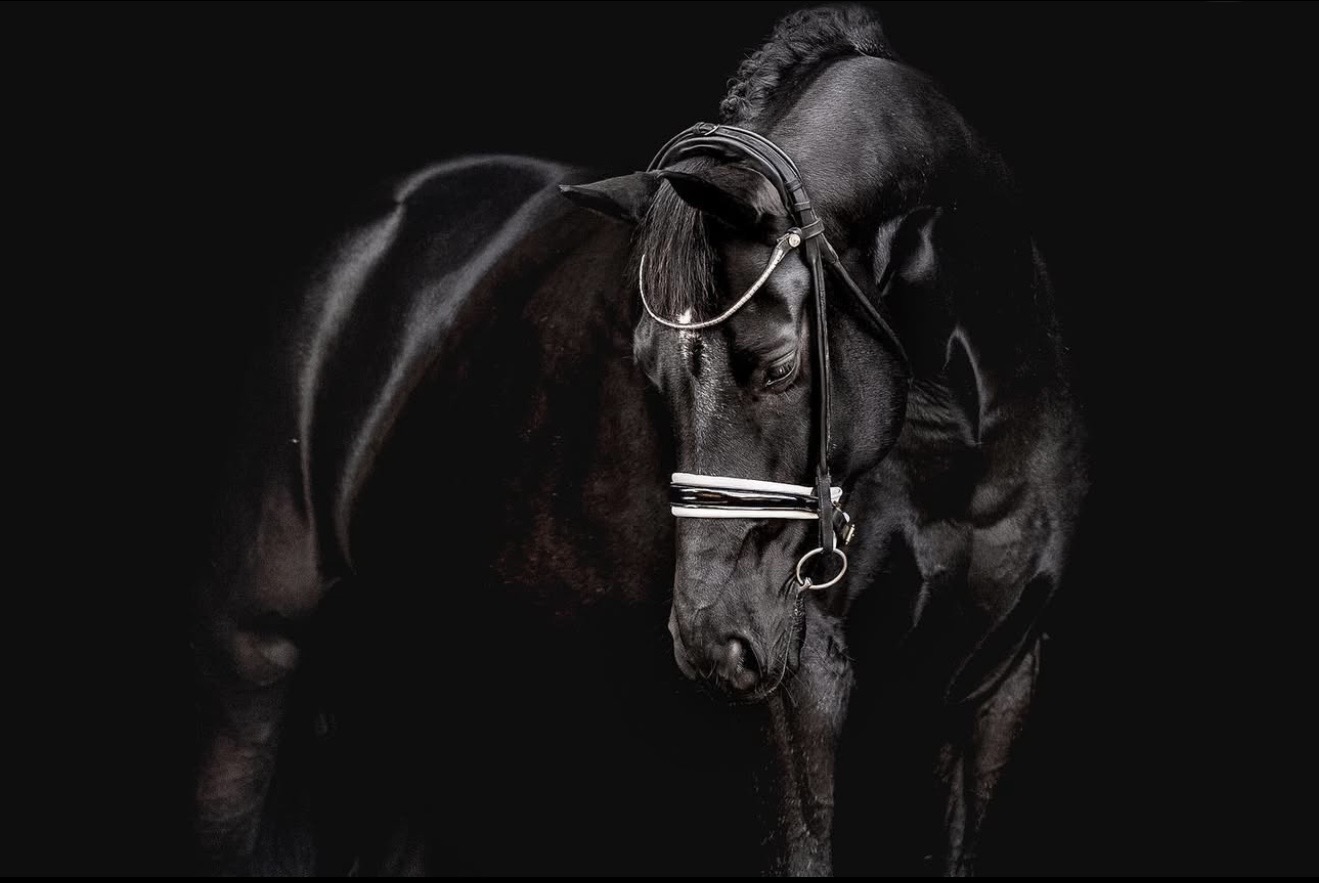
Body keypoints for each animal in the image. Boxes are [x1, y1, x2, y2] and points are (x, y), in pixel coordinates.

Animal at [193, 6, 1086, 875]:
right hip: (255, 649)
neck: (957, 428)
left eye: (776, 359)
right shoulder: (804, 690)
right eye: (647, 369)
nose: (712, 641)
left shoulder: (993, 683)